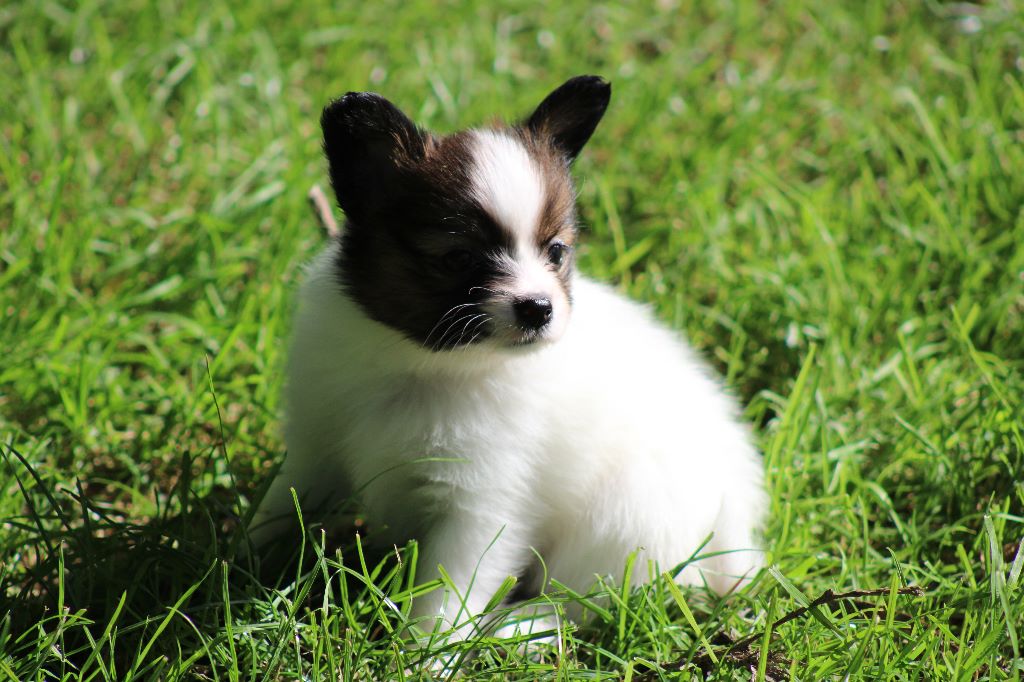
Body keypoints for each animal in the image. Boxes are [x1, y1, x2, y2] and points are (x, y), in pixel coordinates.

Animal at [253, 76, 770, 634]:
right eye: (458, 257)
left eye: (556, 252)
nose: (539, 308)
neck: (426, 364)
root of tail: (734, 534)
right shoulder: (315, 443)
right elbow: (281, 504)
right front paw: (238, 555)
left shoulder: (483, 502)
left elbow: (446, 592)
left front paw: (422, 650)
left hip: (620, 525)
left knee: (579, 602)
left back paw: (517, 630)